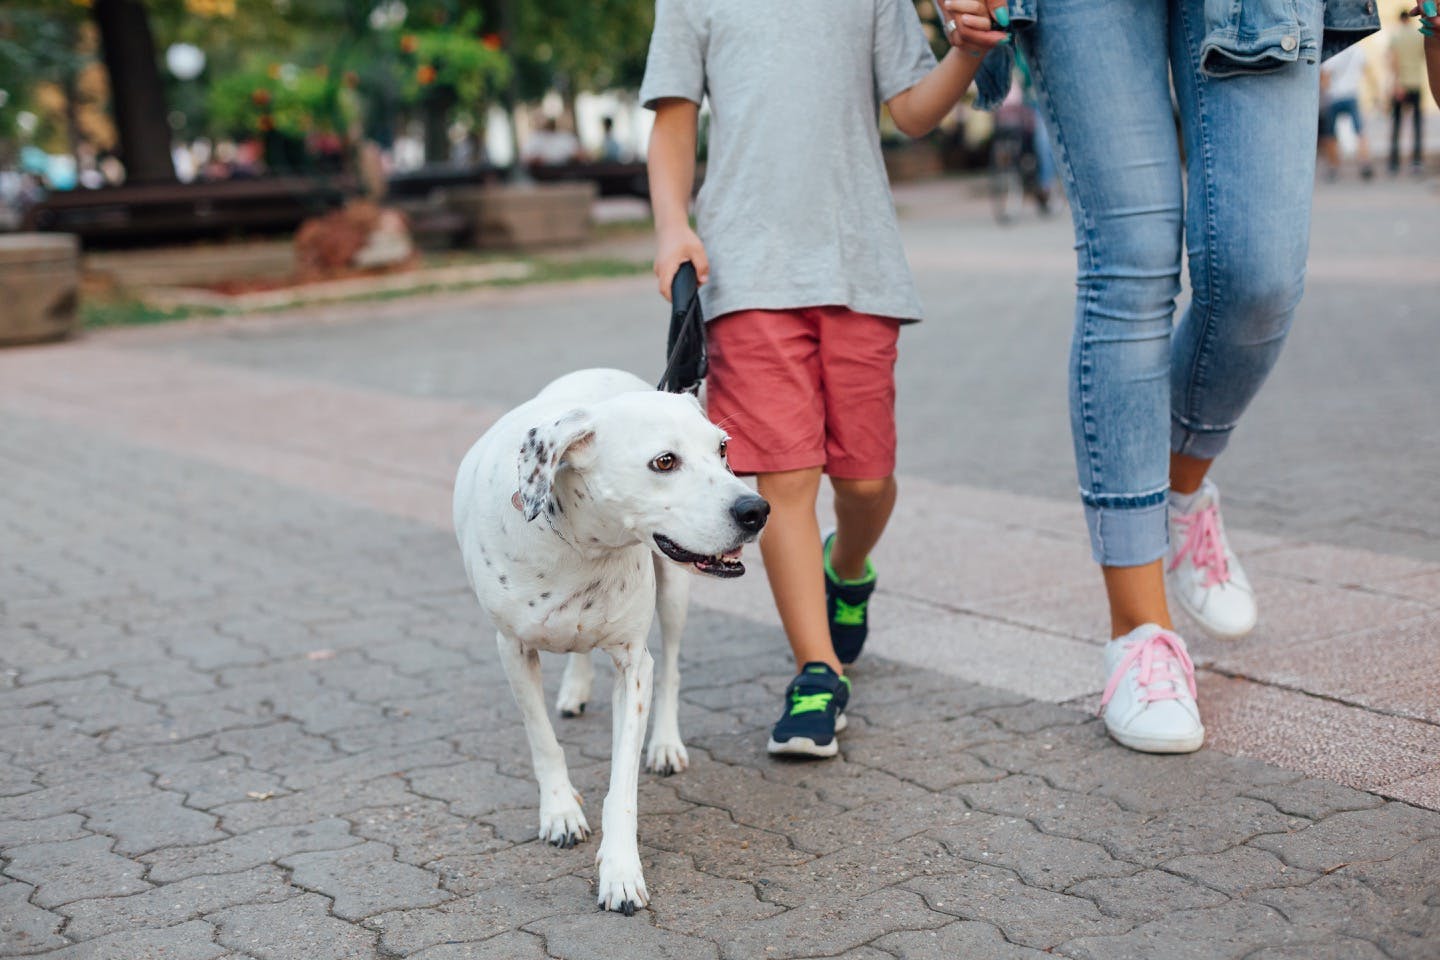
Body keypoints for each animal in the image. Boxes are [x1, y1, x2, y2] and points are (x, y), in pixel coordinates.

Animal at [452, 371, 771, 915]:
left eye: (723, 448)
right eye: (665, 461)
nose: (756, 509)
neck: (581, 548)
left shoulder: (633, 666)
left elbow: (622, 784)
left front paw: (620, 870)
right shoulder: (512, 649)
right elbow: (542, 739)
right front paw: (559, 811)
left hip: (675, 593)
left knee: (672, 670)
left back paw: (665, 745)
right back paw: (575, 690)